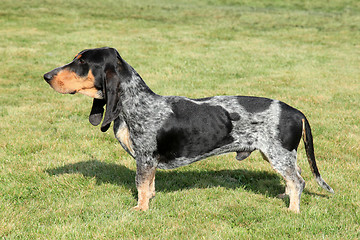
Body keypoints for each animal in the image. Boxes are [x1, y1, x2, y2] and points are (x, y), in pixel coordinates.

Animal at [43, 47, 334, 212]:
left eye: (82, 63)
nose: (45, 76)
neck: (135, 102)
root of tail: (296, 112)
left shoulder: (145, 158)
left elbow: (141, 185)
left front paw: (140, 210)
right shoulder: (148, 161)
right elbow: (149, 185)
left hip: (278, 155)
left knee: (298, 181)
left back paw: (292, 211)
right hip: (277, 155)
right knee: (294, 178)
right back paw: (284, 196)